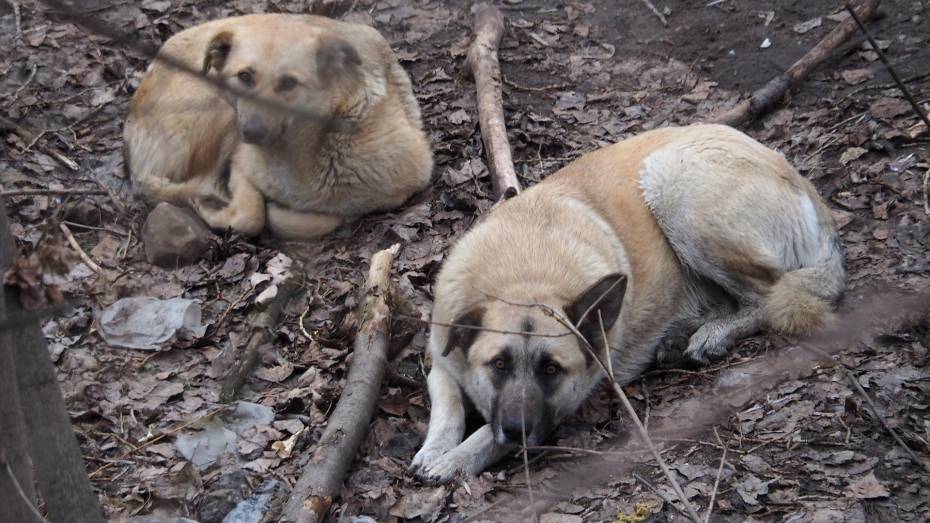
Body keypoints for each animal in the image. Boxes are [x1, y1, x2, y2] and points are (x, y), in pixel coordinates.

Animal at [120, 14, 436, 239]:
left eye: (288, 83)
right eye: (244, 76)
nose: (251, 133)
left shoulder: (406, 185)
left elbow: (316, 218)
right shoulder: (240, 164)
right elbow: (252, 215)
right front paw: (222, 211)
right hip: (218, 107)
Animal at [410, 123, 844, 484]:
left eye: (551, 370)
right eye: (498, 365)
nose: (518, 429)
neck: (524, 275)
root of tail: (800, 181)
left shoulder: (567, 399)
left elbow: (488, 433)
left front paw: (456, 460)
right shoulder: (442, 360)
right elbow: (448, 408)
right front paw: (434, 450)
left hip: (673, 185)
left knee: (765, 295)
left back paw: (712, 336)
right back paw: (679, 339)